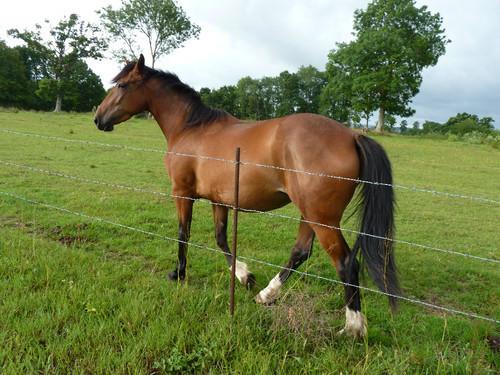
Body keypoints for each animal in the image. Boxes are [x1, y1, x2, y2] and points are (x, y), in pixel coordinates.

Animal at [94, 55, 398, 338]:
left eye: (121, 85)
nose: (98, 118)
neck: (191, 128)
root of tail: (352, 136)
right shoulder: (219, 200)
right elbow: (221, 239)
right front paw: (244, 276)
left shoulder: (182, 193)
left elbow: (183, 234)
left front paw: (178, 273)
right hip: (310, 214)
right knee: (300, 252)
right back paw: (266, 294)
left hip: (322, 219)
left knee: (346, 263)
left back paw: (353, 327)